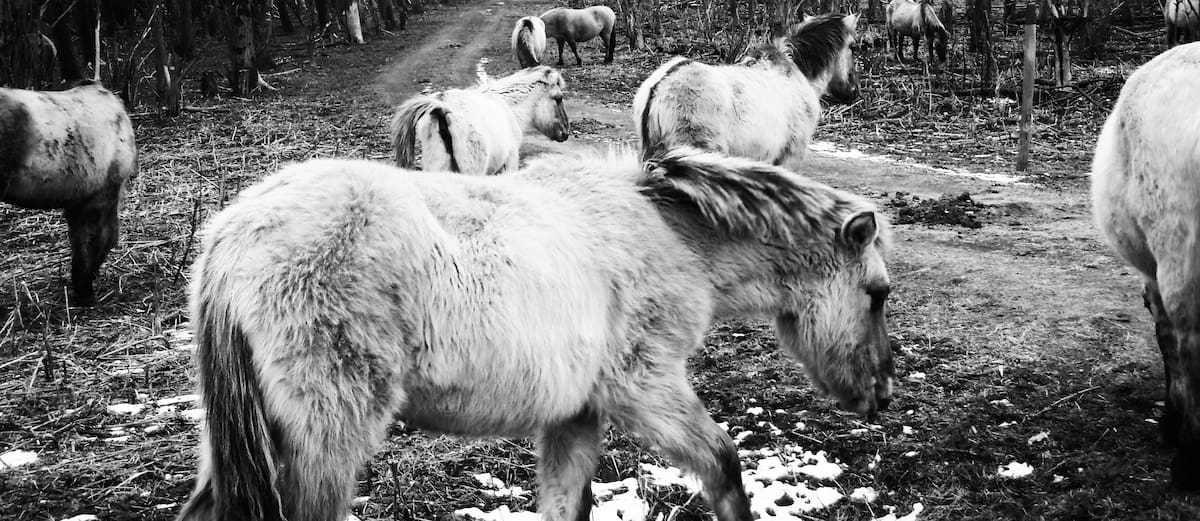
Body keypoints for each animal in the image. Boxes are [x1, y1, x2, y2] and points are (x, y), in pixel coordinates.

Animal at [174, 146, 895, 521]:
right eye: (878, 293)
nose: (883, 395)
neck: (669, 234)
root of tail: (233, 236)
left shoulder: (575, 416)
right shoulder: (647, 392)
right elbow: (723, 463)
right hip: (325, 443)